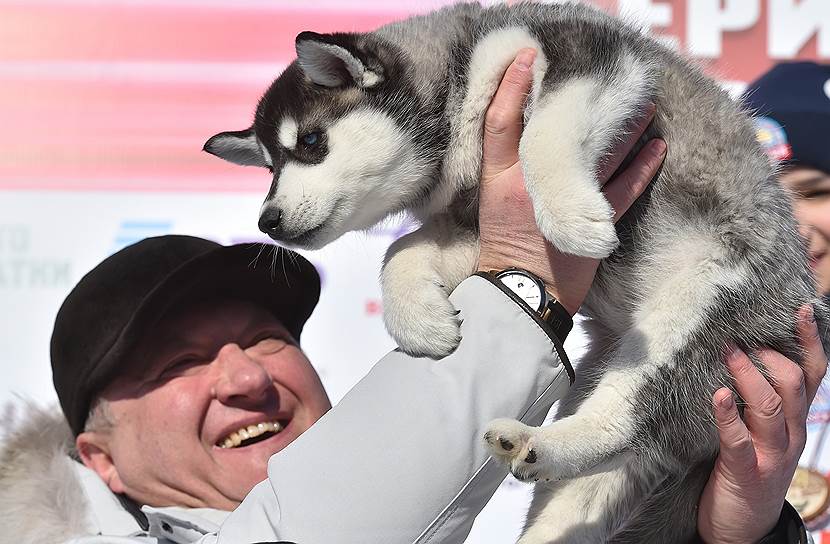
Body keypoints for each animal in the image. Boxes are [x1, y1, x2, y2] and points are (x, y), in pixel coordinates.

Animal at [203, 2, 830, 540]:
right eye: (267, 167)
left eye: (310, 142)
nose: (267, 220)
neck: (455, 98)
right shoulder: (473, 220)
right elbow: (399, 252)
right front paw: (420, 321)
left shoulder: (582, 57)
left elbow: (540, 140)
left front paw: (573, 220)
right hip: (603, 379)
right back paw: (535, 458)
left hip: (707, 317)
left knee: (632, 416)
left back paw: (537, 442)